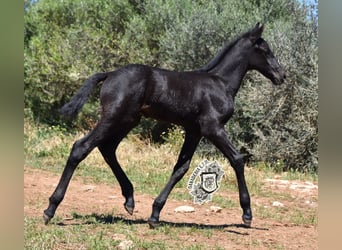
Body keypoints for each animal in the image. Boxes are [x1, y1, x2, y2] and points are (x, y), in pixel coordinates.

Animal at [44, 22, 288, 228]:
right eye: (265, 50)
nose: (281, 76)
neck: (221, 84)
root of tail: (110, 73)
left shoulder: (194, 131)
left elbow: (180, 168)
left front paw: (155, 214)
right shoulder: (213, 128)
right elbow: (237, 159)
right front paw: (247, 214)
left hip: (128, 120)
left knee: (107, 148)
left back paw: (129, 199)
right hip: (114, 117)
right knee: (81, 147)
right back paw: (50, 209)